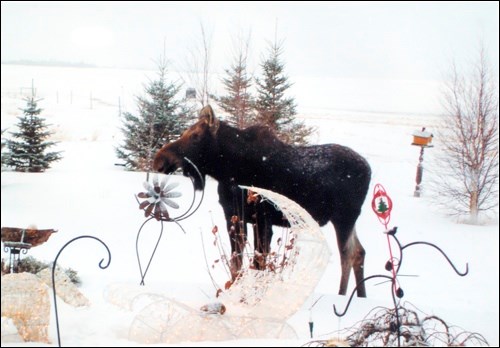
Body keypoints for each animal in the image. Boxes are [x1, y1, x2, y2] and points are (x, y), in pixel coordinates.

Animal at [154, 104, 374, 298]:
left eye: (195, 136)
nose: (159, 160)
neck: (227, 171)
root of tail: (369, 168)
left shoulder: (263, 219)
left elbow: (258, 263)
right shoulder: (235, 217)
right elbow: (237, 264)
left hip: (344, 217)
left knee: (348, 254)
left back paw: (342, 296)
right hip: (348, 220)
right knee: (360, 251)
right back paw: (361, 296)